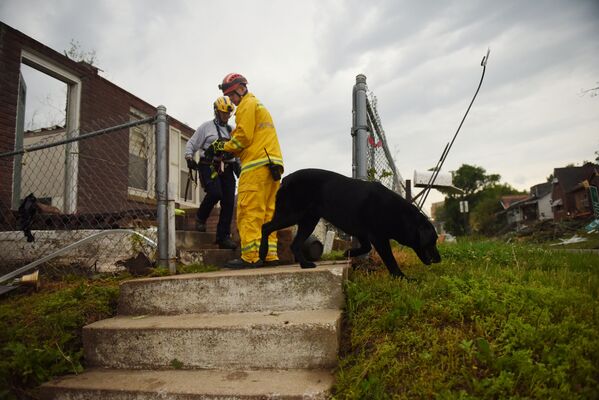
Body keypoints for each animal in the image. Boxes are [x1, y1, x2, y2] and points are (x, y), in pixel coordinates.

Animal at [258, 169, 440, 278]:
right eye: (432, 241)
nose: (439, 260)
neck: (398, 213)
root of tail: (285, 179)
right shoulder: (379, 238)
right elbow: (390, 259)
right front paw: (401, 277)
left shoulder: (363, 233)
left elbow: (365, 247)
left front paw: (348, 252)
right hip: (291, 215)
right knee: (265, 227)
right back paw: (262, 255)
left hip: (308, 221)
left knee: (294, 244)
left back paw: (304, 264)